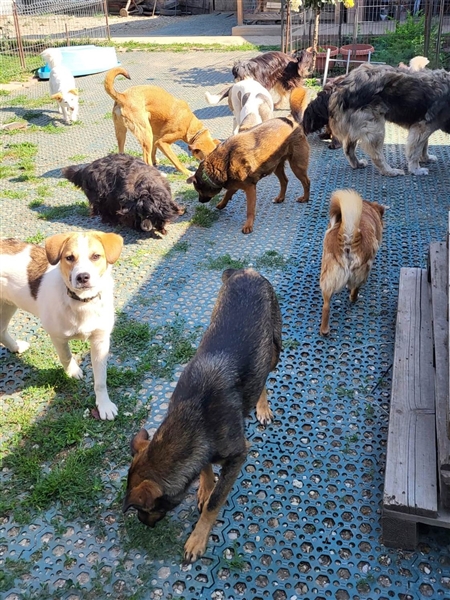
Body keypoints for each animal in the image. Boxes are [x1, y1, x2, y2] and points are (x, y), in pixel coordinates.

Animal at [0, 231, 123, 419]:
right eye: (69, 258)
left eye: (96, 256)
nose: (82, 277)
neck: (82, 302)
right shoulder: (57, 336)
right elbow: (66, 356)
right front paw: (73, 371)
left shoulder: (100, 340)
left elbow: (101, 380)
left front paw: (104, 405)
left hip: (8, 305)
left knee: (1, 330)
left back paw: (15, 347)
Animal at [122, 267, 282, 563]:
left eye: (145, 509)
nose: (143, 523)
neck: (193, 416)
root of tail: (246, 270)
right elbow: (206, 468)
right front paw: (205, 485)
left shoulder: (238, 456)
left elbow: (215, 503)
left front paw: (198, 537)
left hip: (275, 346)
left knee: (265, 372)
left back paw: (262, 405)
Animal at [187, 87, 311, 234]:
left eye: (198, 191)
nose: (200, 201)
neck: (224, 162)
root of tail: (292, 120)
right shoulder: (235, 184)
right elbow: (227, 194)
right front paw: (222, 204)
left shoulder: (250, 188)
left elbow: (250, 209)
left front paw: (248, 225)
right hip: (276, 165)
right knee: (285, 181)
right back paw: (280, 198)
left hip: (297, 165)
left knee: (306, 182)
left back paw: (305, 198)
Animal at [305, 63, 450, 176]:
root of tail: (341, 86)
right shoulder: (421, 128)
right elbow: (415, 151)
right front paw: (416, 169)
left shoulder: (422, 127)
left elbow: (424, 146)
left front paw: (426, 158)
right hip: (375, 127)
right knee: (377, 156)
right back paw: (390, 171)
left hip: (357, 126)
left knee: (348, 149)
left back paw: (357, 164)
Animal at [319, 189, 385, 336]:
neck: (367, 209)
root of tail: (348, 236)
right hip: (362, 272)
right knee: (355, 288)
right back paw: (354, 298)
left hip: (328, 276)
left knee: (326, 306)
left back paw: (324, 330)